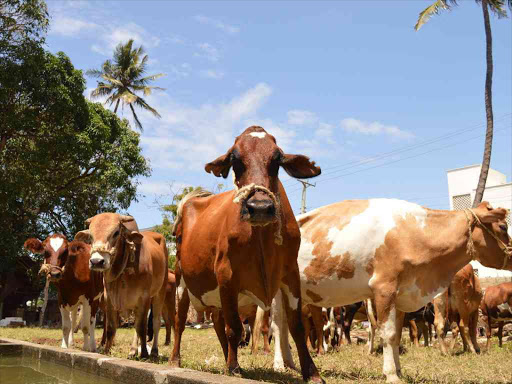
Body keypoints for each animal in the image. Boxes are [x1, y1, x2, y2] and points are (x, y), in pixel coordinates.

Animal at [74, 216, 168, 360]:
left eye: (116, 233)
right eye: (90, 236)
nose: (97, 262)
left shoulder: (144, 297)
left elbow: (142, 327)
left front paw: (144, 354)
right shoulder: (109, 299)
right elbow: (111, 327)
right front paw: (106, 351)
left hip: (160, 292)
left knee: (155, 323)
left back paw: (154, 351)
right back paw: (133, 350)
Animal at [168, 125, 322, 380]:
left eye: (277, 159)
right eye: (235, 160)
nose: (259, 207)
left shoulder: (291, 273)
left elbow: (297, 326)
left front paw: (312, 373)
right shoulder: (226, 274)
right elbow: (235, 327)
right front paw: (233, 368)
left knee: (217, 322)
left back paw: (225, 358)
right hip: (181, 280)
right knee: (180, 321)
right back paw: (176, 359)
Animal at [272, 200, 508, 382]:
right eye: (504, 227)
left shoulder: (400, 293)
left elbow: (396, 335)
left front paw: (399, 370)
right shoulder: (383, 288)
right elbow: (388, 333)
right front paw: (391, 375)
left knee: (284, 325)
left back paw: (290, 364)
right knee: (277, 327)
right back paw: (279, 365)